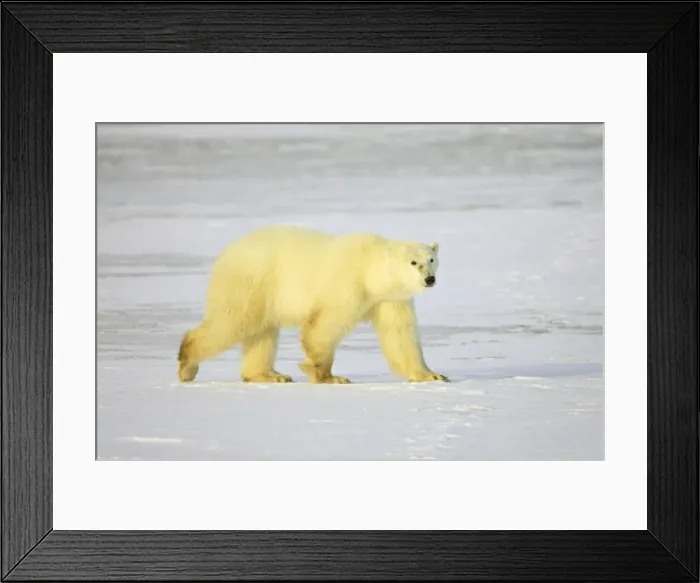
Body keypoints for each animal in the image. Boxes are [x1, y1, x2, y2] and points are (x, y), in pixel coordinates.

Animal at [177, 225, 449, 384]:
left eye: (431, 259)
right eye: (413, 262)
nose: (429, 279)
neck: (370, 271)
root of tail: (226, 253)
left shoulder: (389, 298)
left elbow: (400, 335)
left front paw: (431, 375)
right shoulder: (347, 285)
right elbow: (324, 326)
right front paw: (326, 375)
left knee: (262, 332)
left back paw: (270, 375)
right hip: (252, 280)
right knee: (234, 321)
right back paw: (187, 365)